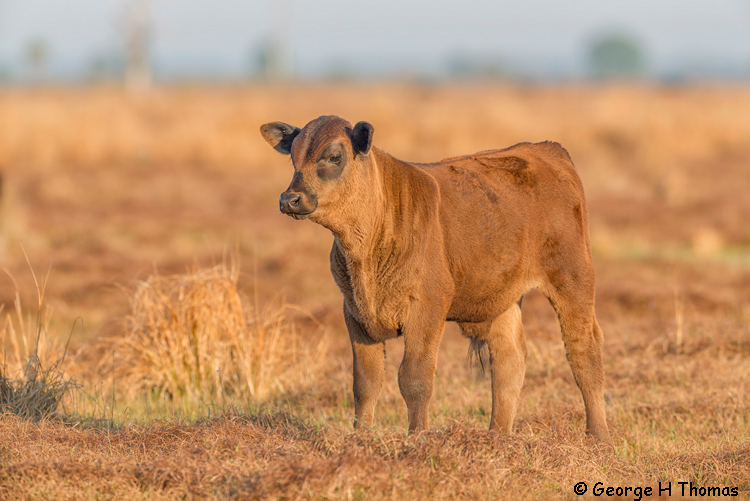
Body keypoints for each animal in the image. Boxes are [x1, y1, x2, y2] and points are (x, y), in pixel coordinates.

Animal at [260, 115, 611, 443]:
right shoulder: (355, 313)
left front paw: (417, 437)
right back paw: (497, 437)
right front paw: (361, 437)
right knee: (509, 360)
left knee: (584, 352)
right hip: (503, 299)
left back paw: (598, 437)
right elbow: (365, 383)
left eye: (334, 156)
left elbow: (414, 379)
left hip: (573, 279)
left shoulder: (426, 309)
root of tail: (545, 149)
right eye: (293, 157)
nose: (289, 199)